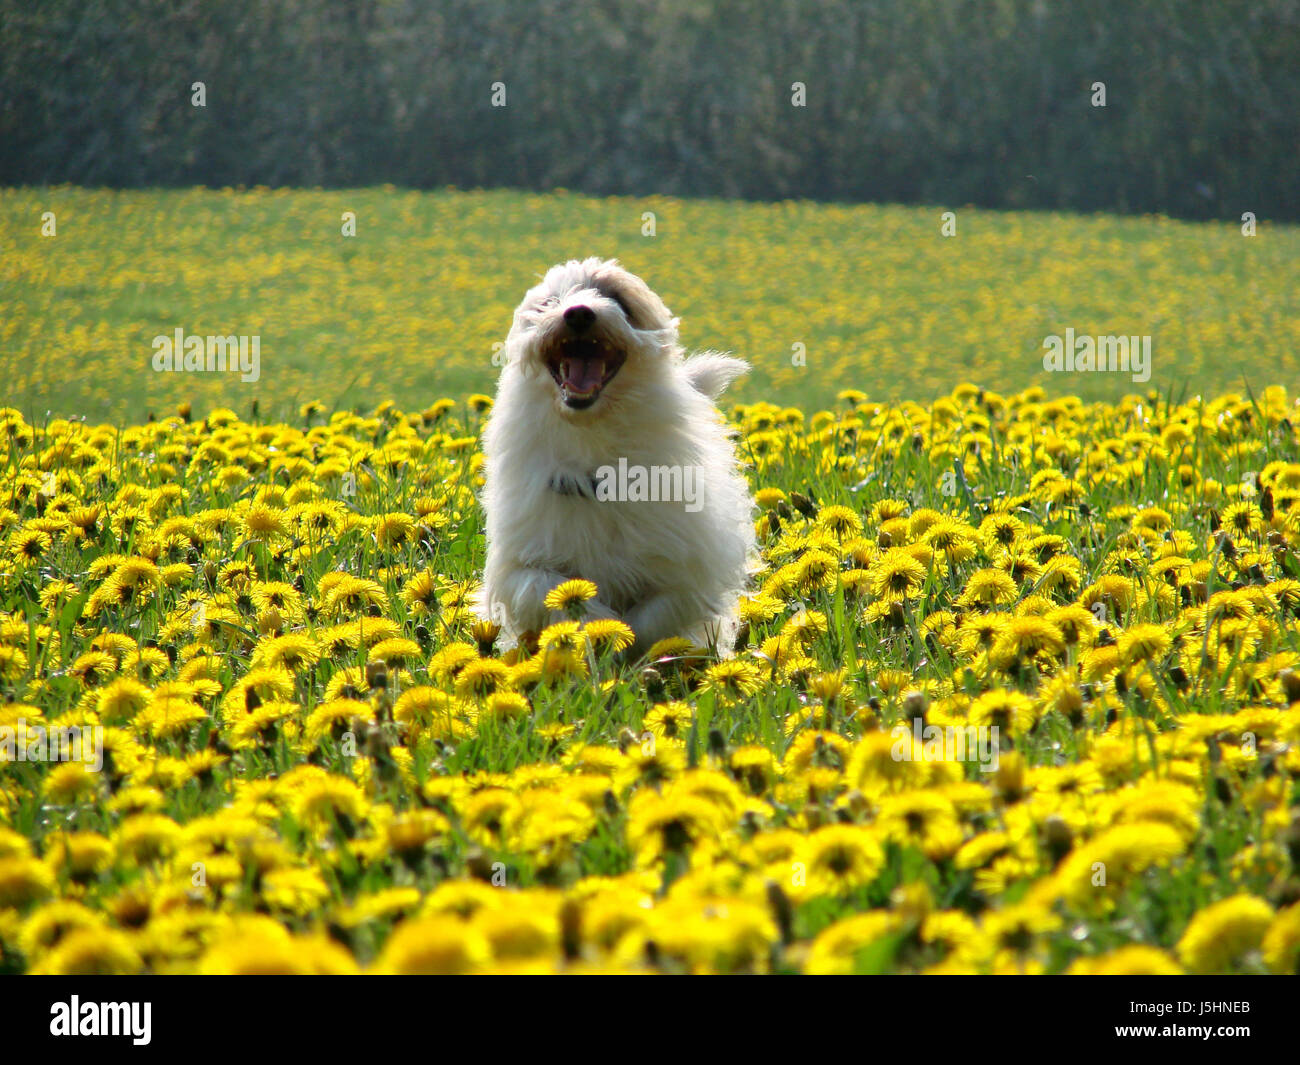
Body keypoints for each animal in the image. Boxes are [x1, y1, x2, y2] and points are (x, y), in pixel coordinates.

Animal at [478, 260, 759, 657]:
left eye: (619, 300)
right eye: (548, 302)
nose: (578, 313)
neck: (594, 451)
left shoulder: (686, 575)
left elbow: (654, 615)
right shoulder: (518, 565)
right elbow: (545, 588)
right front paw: (598, 626)